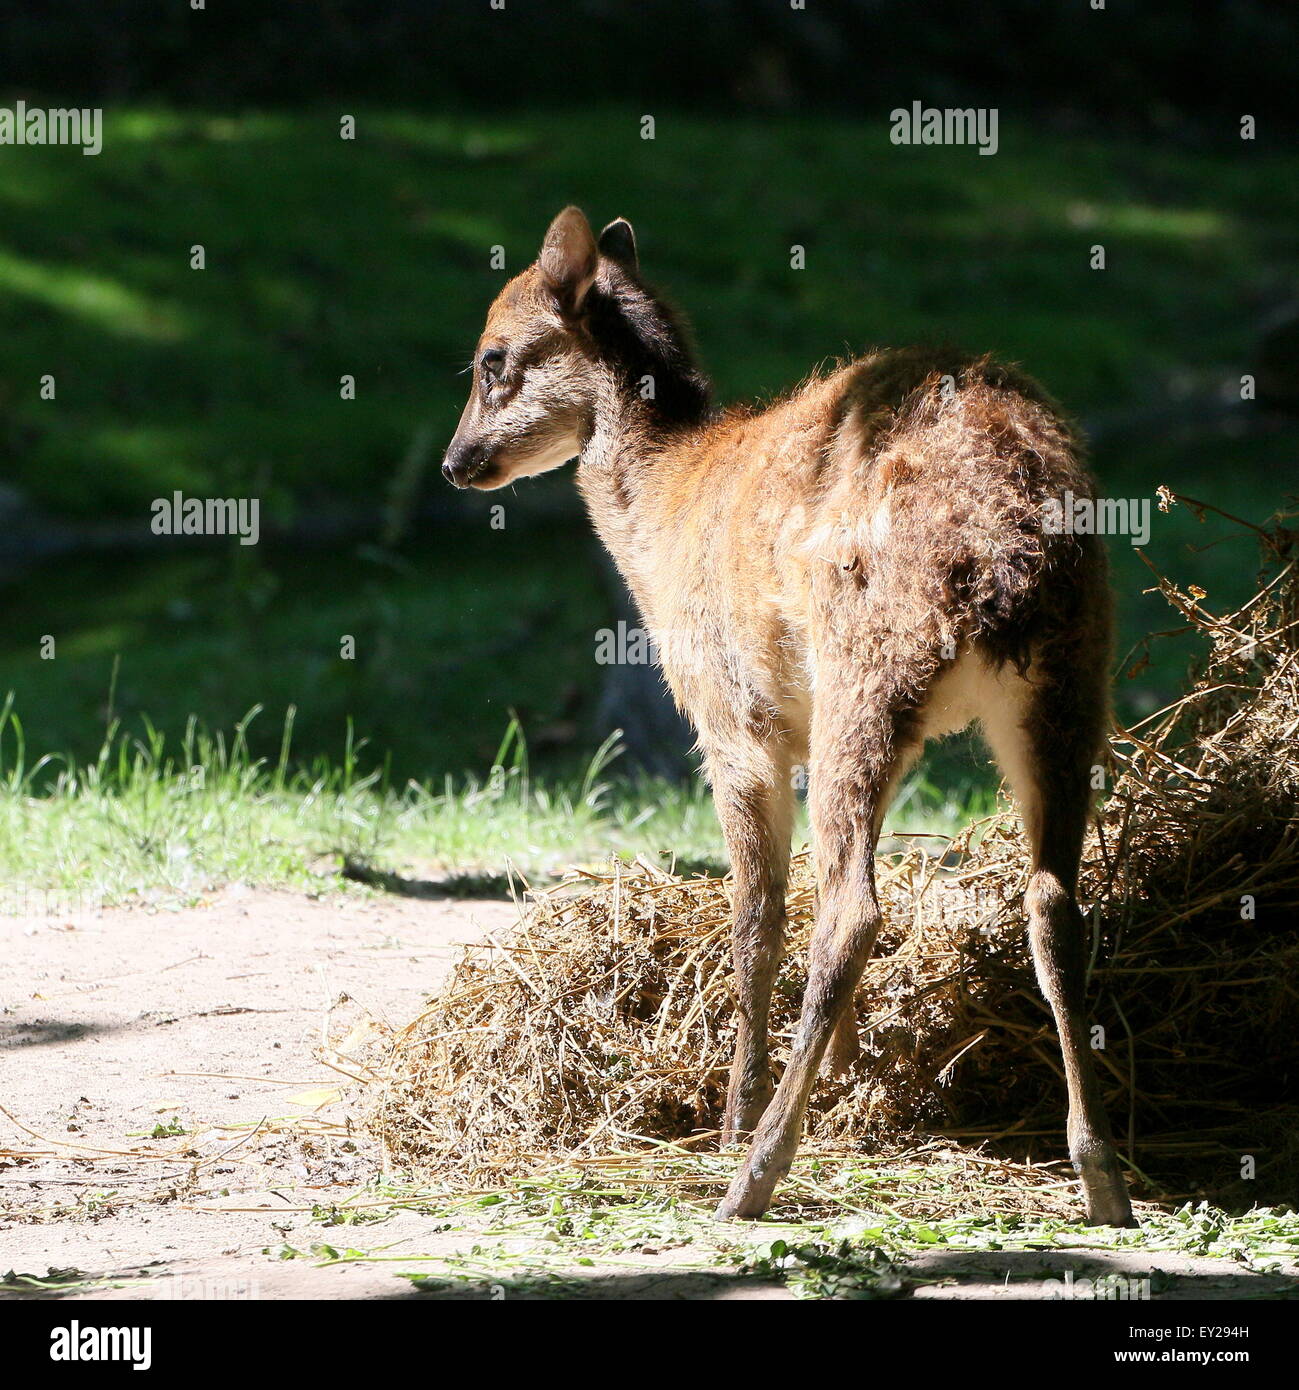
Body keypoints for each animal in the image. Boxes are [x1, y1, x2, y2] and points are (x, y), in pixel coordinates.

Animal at [441, 208, 1133, 1228]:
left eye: (492, 358)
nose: (457, 464)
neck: (661, 513)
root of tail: (1005, 552)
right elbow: (798, 887)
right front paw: (843, 1079)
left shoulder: (731, 719)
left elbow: (759, 913)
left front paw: (737, 1108)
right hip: (1068, 680)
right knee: (1049, 902)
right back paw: (1100, 1177)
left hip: (865, 670)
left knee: (853, 909)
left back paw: (755, 1170)